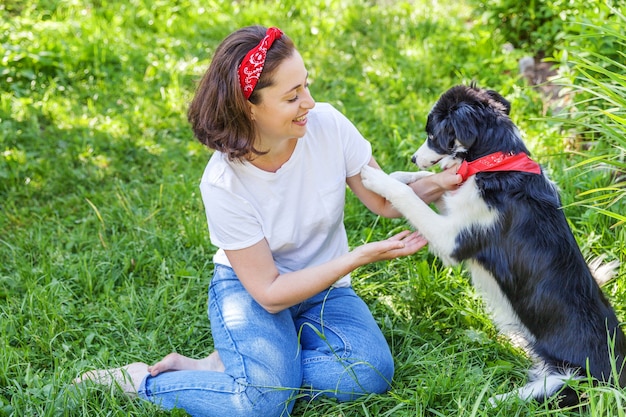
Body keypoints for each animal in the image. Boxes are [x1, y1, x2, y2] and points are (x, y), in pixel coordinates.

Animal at [360, 83, 624, 404]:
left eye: (431, 135)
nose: (411, 157)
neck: (498, 163)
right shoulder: (456, 206)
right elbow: (431, 183)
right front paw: (398, 174)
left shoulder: (453, 239)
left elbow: (410, 198)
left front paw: (376, 178)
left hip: (571, 382)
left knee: (517, 399)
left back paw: (484, 398)